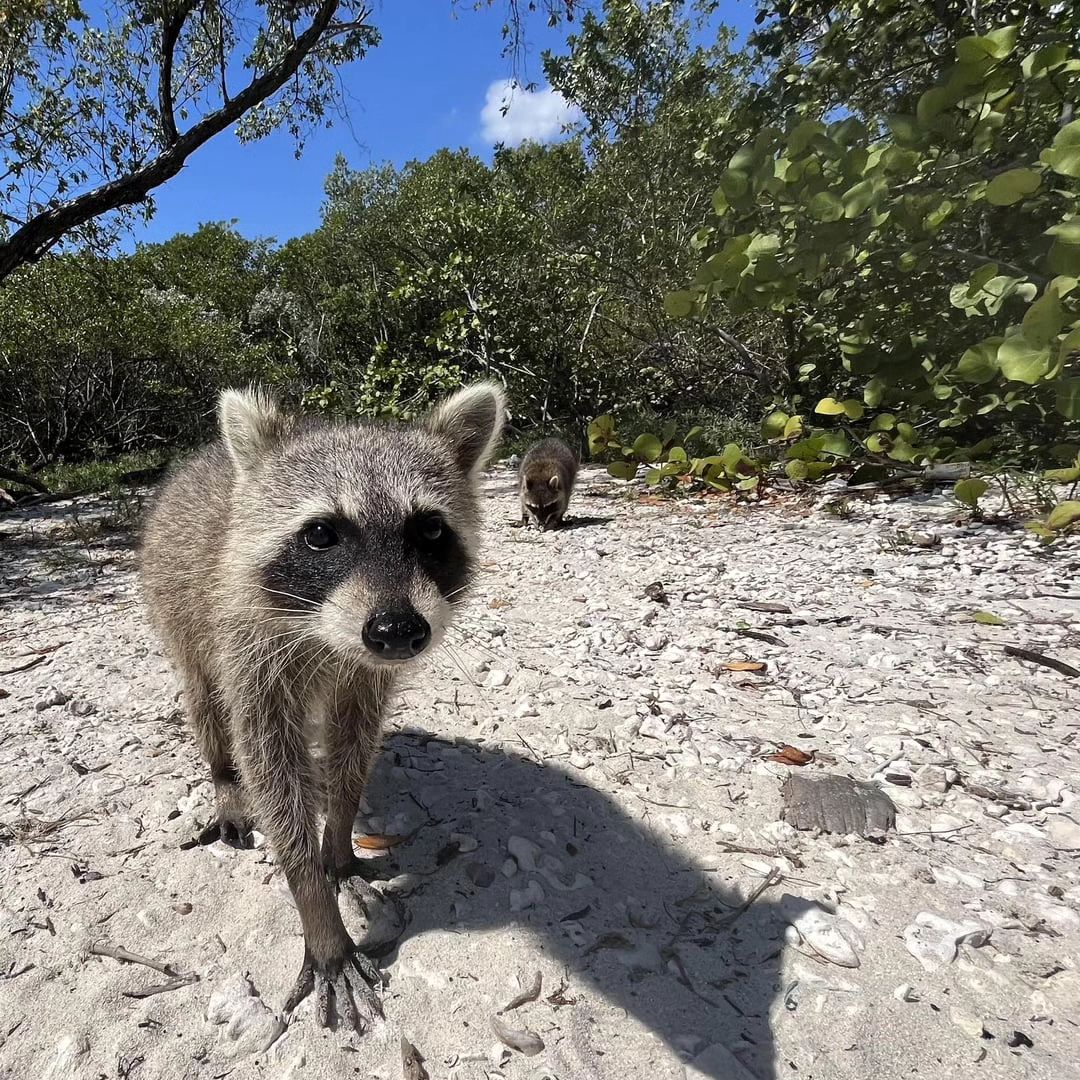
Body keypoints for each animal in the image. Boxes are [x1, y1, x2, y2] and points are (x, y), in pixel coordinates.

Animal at [139, 382, 504, 1032]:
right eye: (320, 534)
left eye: (430, 530)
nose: (397, 631)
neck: (325, 634)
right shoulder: (249, 650)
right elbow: (271, 768)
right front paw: (314, 902)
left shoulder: (365, 672)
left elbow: (352, 745)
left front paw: (337, 842)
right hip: (178, 610)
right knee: (207, 704)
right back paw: (224, 778)